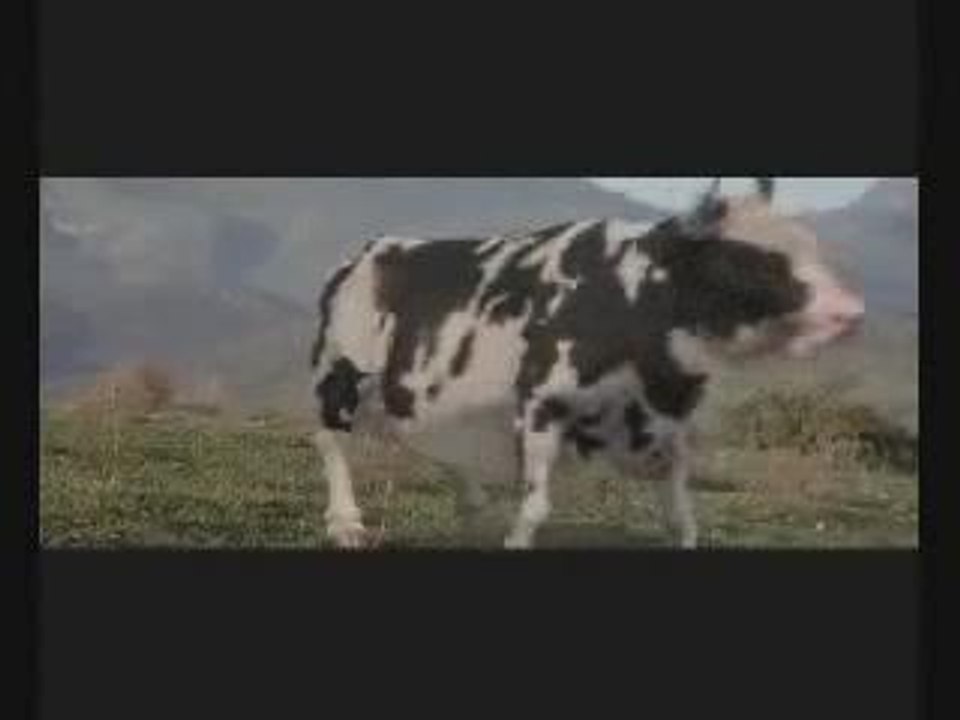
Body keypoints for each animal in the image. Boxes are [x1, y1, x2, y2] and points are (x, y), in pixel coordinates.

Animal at [309, 178, 866, 549]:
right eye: (744, 259)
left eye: (811, 244)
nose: (849, 311)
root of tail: (365, 254)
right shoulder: (539, 402)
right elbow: (536, 506)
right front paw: (515, 539)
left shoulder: (666, 429)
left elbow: (681, 517)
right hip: (339, 373)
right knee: (331, 440)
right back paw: (346, 523)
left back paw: (473, 508)